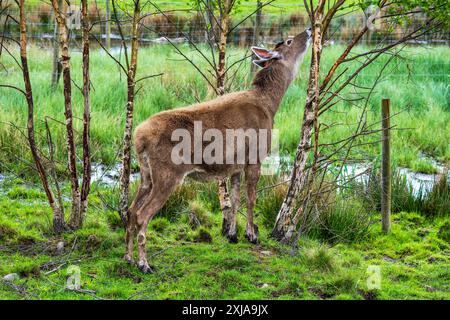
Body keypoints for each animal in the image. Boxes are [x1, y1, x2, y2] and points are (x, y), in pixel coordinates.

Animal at [125, 27, 312, 274]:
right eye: (290, 41)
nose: (308, 30)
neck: (268, 105)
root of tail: (139, 135)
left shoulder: (235, 164)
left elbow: (235, 198)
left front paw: (232, 234)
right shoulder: (256, 155)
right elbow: (251, 197)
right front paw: (252, 235)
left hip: (146, 174)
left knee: (130, 210)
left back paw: (128, 257)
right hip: (168, 172)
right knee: (142, 214)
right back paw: (144, 263)